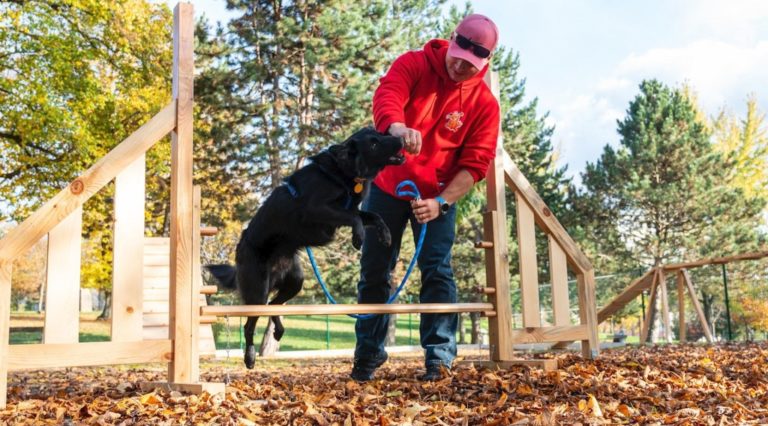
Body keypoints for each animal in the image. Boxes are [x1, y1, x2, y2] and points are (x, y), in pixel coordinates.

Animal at [207, 127, 404, 370]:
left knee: (274, 305)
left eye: (381, 134)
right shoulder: (316, 209)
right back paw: (250, 357)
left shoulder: (346, 209)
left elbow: (371, 215)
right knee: (250, 324)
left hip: (295, 281)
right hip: (258, 291)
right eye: (374, 143)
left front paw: (385, 235)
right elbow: (354, 217)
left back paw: (279, 331)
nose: (401, 138)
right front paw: (358, 237)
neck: (343, 172)